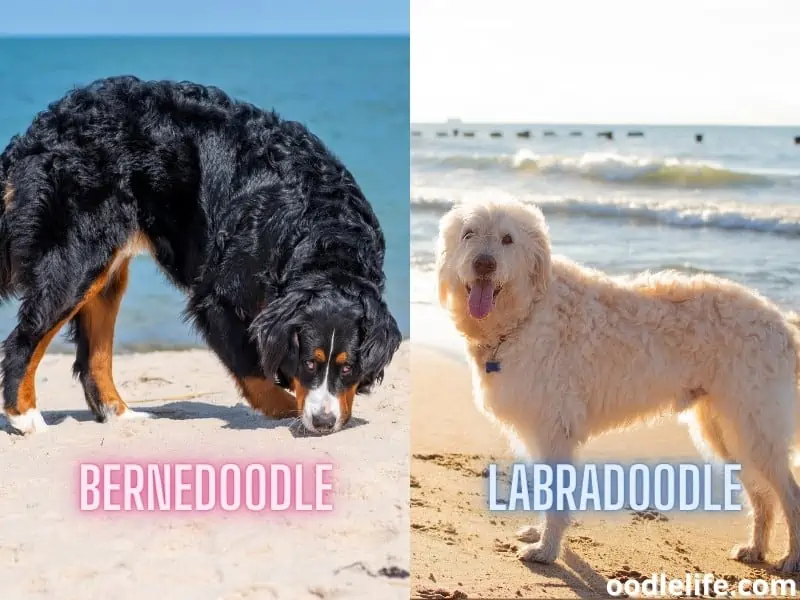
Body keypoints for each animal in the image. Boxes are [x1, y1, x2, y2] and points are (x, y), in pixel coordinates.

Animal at [0, 76, 400, 436]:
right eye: (309, 363)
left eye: (347, 368)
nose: (324, 422)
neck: (325, 238)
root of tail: (39, 131)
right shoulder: (217, 298)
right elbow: (252, 367)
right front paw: (289, 408)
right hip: (76, 263)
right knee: (23, 342)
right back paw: (26, 418)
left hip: (106, 272)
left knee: (92, 358)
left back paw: (122, 415)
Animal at [434, 198, 800, 572]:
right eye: (468, 233)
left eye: (507, 239)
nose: (484, 264)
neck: (527, 313)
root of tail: (782, 324)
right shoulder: (537, 430)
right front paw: (539, 534)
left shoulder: (553, 429)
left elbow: (556, 497)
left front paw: (547, 550)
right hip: (728, 432)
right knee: (763, 497)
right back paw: (755, 548)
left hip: (756, 429)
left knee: (789, 495)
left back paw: (791, 557)